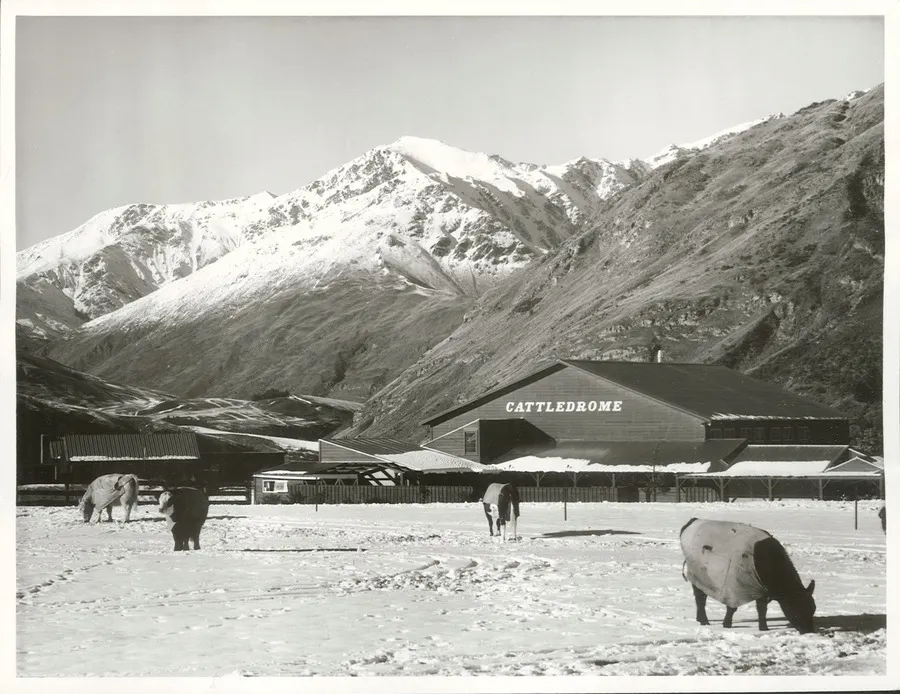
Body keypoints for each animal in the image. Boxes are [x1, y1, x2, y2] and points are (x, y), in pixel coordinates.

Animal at [680, 518, 816, 633]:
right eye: (798, 608)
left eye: (813, 609)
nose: (809, 630)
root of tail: (694, 520)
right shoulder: (733, 588)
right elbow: (732, 608)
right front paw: (727, 624)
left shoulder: (761, 588)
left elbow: (762, 609)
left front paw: (763, 628)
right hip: (696, 575)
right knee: (700, 598)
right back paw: (704, 620)